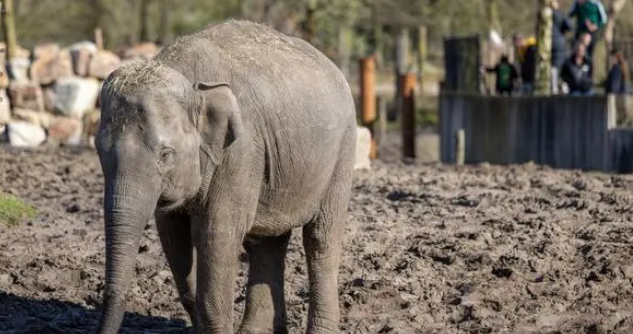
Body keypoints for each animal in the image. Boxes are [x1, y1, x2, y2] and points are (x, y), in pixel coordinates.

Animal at [95, 20, 356, 334]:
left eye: (165, 154)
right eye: (98, 150)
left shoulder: (241, 150)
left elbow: (217, 234)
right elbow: (173, 235)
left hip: (342, 151)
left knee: (320, 239)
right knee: (267, 244)